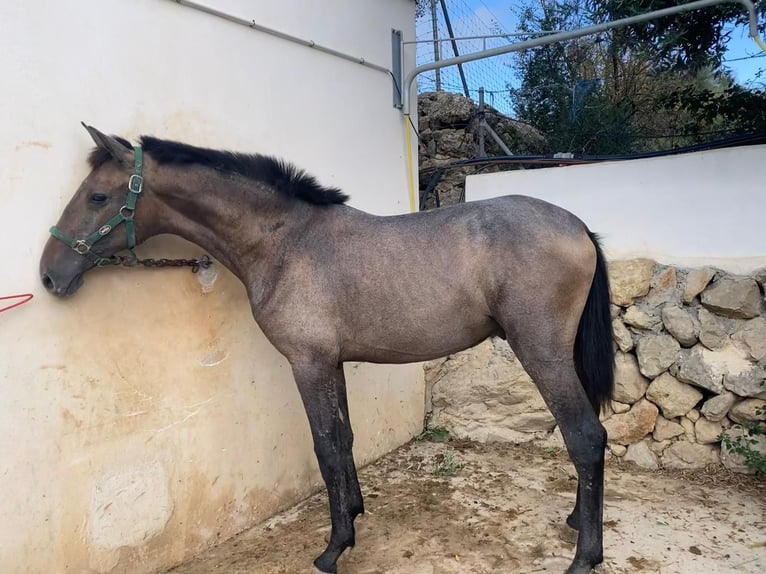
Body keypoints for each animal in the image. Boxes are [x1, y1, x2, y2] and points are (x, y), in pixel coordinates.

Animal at [40, 124, 616, 572]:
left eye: (97, 196)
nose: (49, 274)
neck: (286, 242)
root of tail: (578, 226)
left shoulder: (308, 363)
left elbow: (326, 446)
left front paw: (334, 548)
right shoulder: (331, 363)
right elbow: (345, 439)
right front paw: (354, 515)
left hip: (541, 352)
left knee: (586, 436)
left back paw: (585, 557)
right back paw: (575, 520)